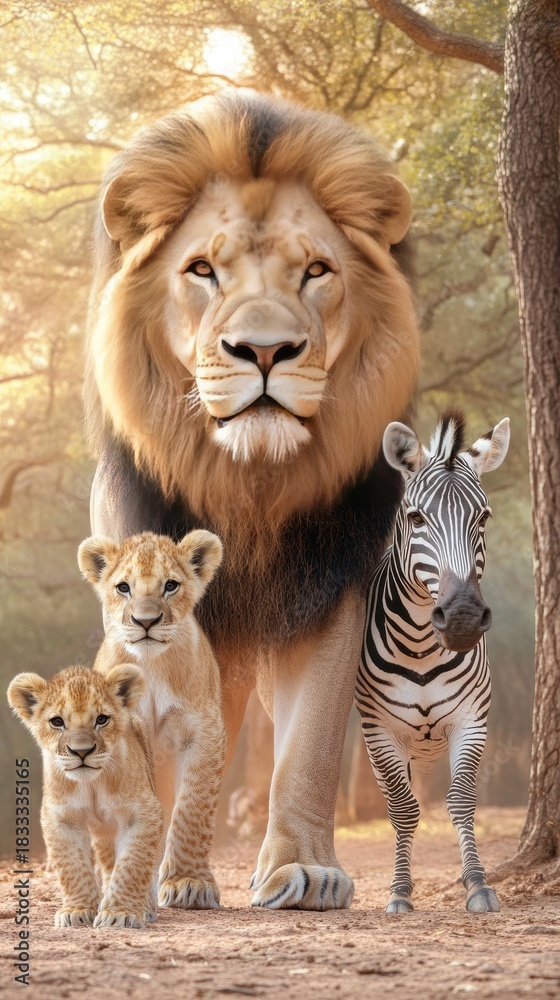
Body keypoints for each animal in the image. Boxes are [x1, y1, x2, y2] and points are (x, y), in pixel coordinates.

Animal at [7, 663, 164, 928]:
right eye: (57, 722)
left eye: (101, 719)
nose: (81, 751)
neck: (91, 784)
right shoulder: (61, 817)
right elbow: (72, 866)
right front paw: (77, 910)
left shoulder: (144, 813)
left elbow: (133, 863)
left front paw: (119, 913)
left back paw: (146, 907)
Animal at [78, 529, 226, 910]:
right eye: (123, 587)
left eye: (170, 585)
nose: (145, 622)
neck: (152, 666)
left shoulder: (202, 732)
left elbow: (193, 807)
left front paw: (188, 882)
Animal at [355, 409, 510, 914]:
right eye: (416, 517)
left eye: (484, 516)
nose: (461, 618)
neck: (422, 647)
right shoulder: (379, 731)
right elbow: (403, 810)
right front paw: (400, 891)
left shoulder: (472, 719)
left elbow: (461, 801)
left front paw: (477, 883)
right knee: (396, 801)